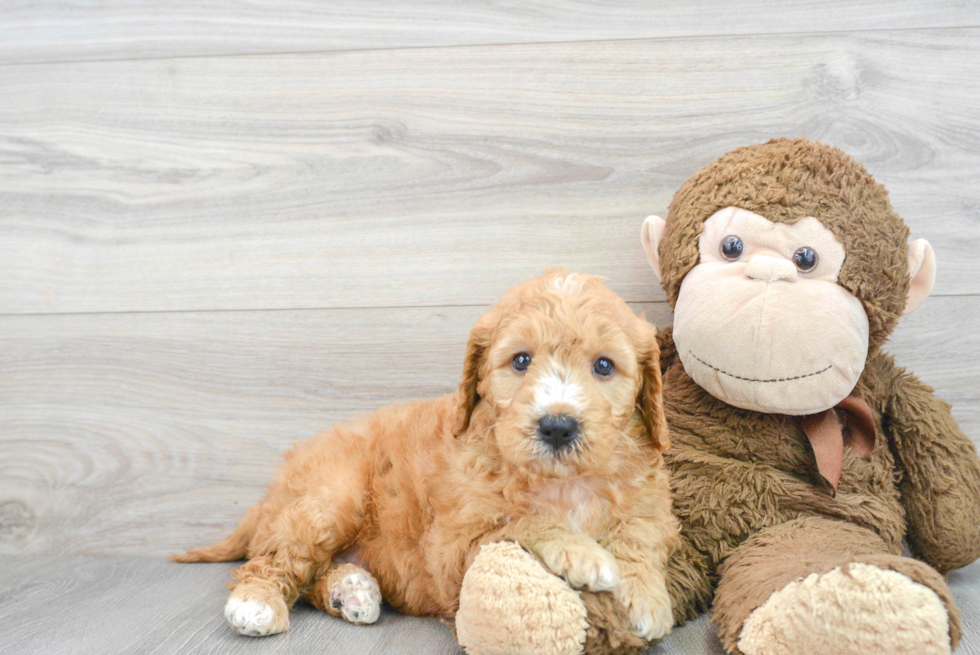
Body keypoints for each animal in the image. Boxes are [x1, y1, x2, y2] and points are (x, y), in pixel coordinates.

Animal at [176, 270, 676, 644]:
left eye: (604, 366)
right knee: (274, 557)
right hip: (331, 499)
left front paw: (645, 596)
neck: (561, 481)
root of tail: (274, 488)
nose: (557, 425)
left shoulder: (651, 505)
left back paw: (349, 591)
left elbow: (639, 533)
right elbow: (519, 521)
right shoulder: (453, 549)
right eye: (520, 361)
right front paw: (582, 552)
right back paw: (256, 602)